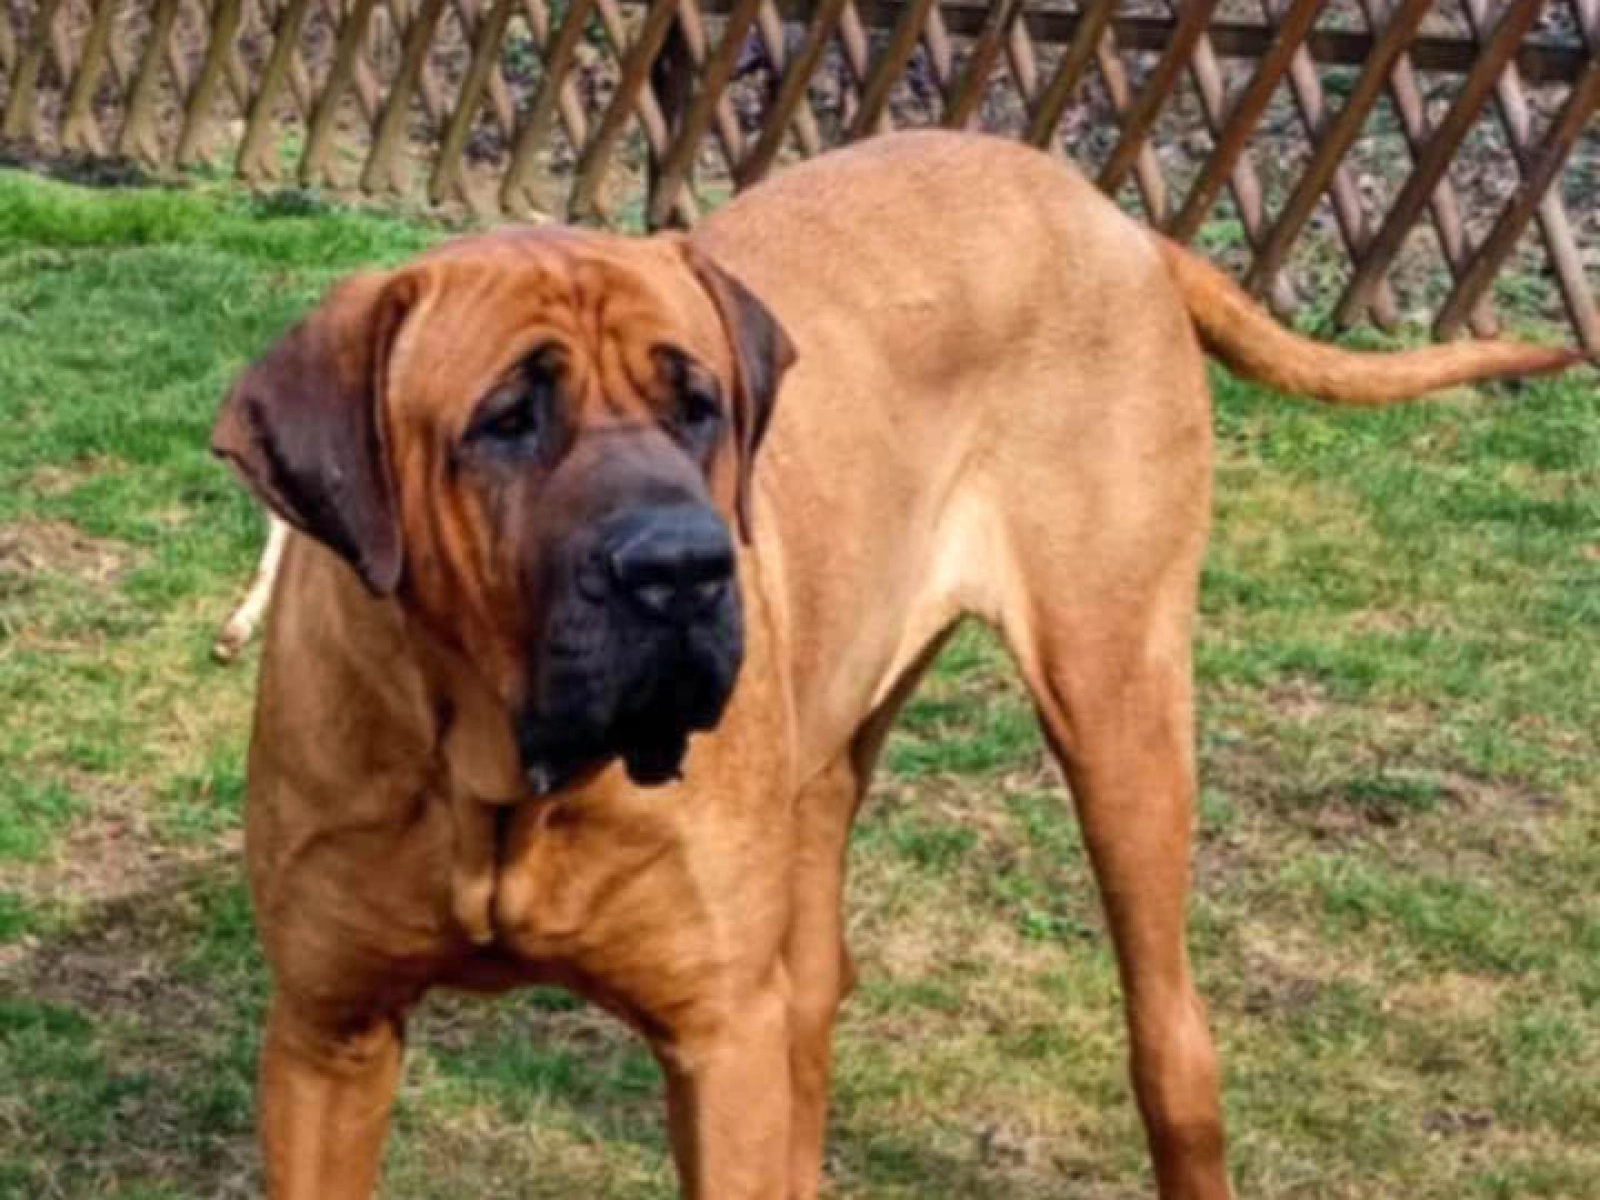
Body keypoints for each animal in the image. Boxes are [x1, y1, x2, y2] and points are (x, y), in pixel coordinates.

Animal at [211, 131, 1580, 1199]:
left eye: (697, 404)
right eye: (505, 420)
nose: (684, 569)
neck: (502, 783)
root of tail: (1117, 220)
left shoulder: (718, 1041)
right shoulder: (327, 1038)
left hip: (1120, 709)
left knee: (1171, 1043)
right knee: (822, 988)